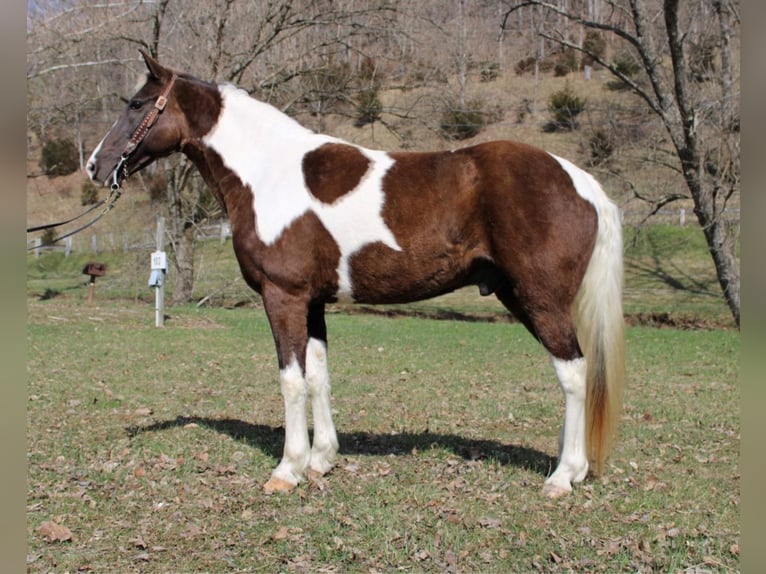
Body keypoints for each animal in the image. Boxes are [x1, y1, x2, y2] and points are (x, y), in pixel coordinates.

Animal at [87, 50, 628, 500]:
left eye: (136, 104)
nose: (95, 166)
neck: (267, 174)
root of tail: (580, 181)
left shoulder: (283, 297)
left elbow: (291, 380)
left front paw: (287, 470)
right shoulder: (313, 302)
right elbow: (318, 375)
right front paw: (321, 460)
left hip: (539, 298)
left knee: (574, 372)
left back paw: (562, 476)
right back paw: (573, 467)